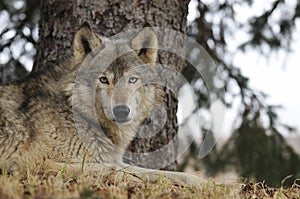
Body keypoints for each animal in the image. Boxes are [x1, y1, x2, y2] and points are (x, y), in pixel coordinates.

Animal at [0, 22, 202, 186]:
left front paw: (200, 182)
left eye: (132, 79)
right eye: (104, 80)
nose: (121, 111)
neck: (77, 114)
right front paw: (131, 180)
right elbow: (107, 169)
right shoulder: (32, 162)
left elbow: (157, 172)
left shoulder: (111, 158)